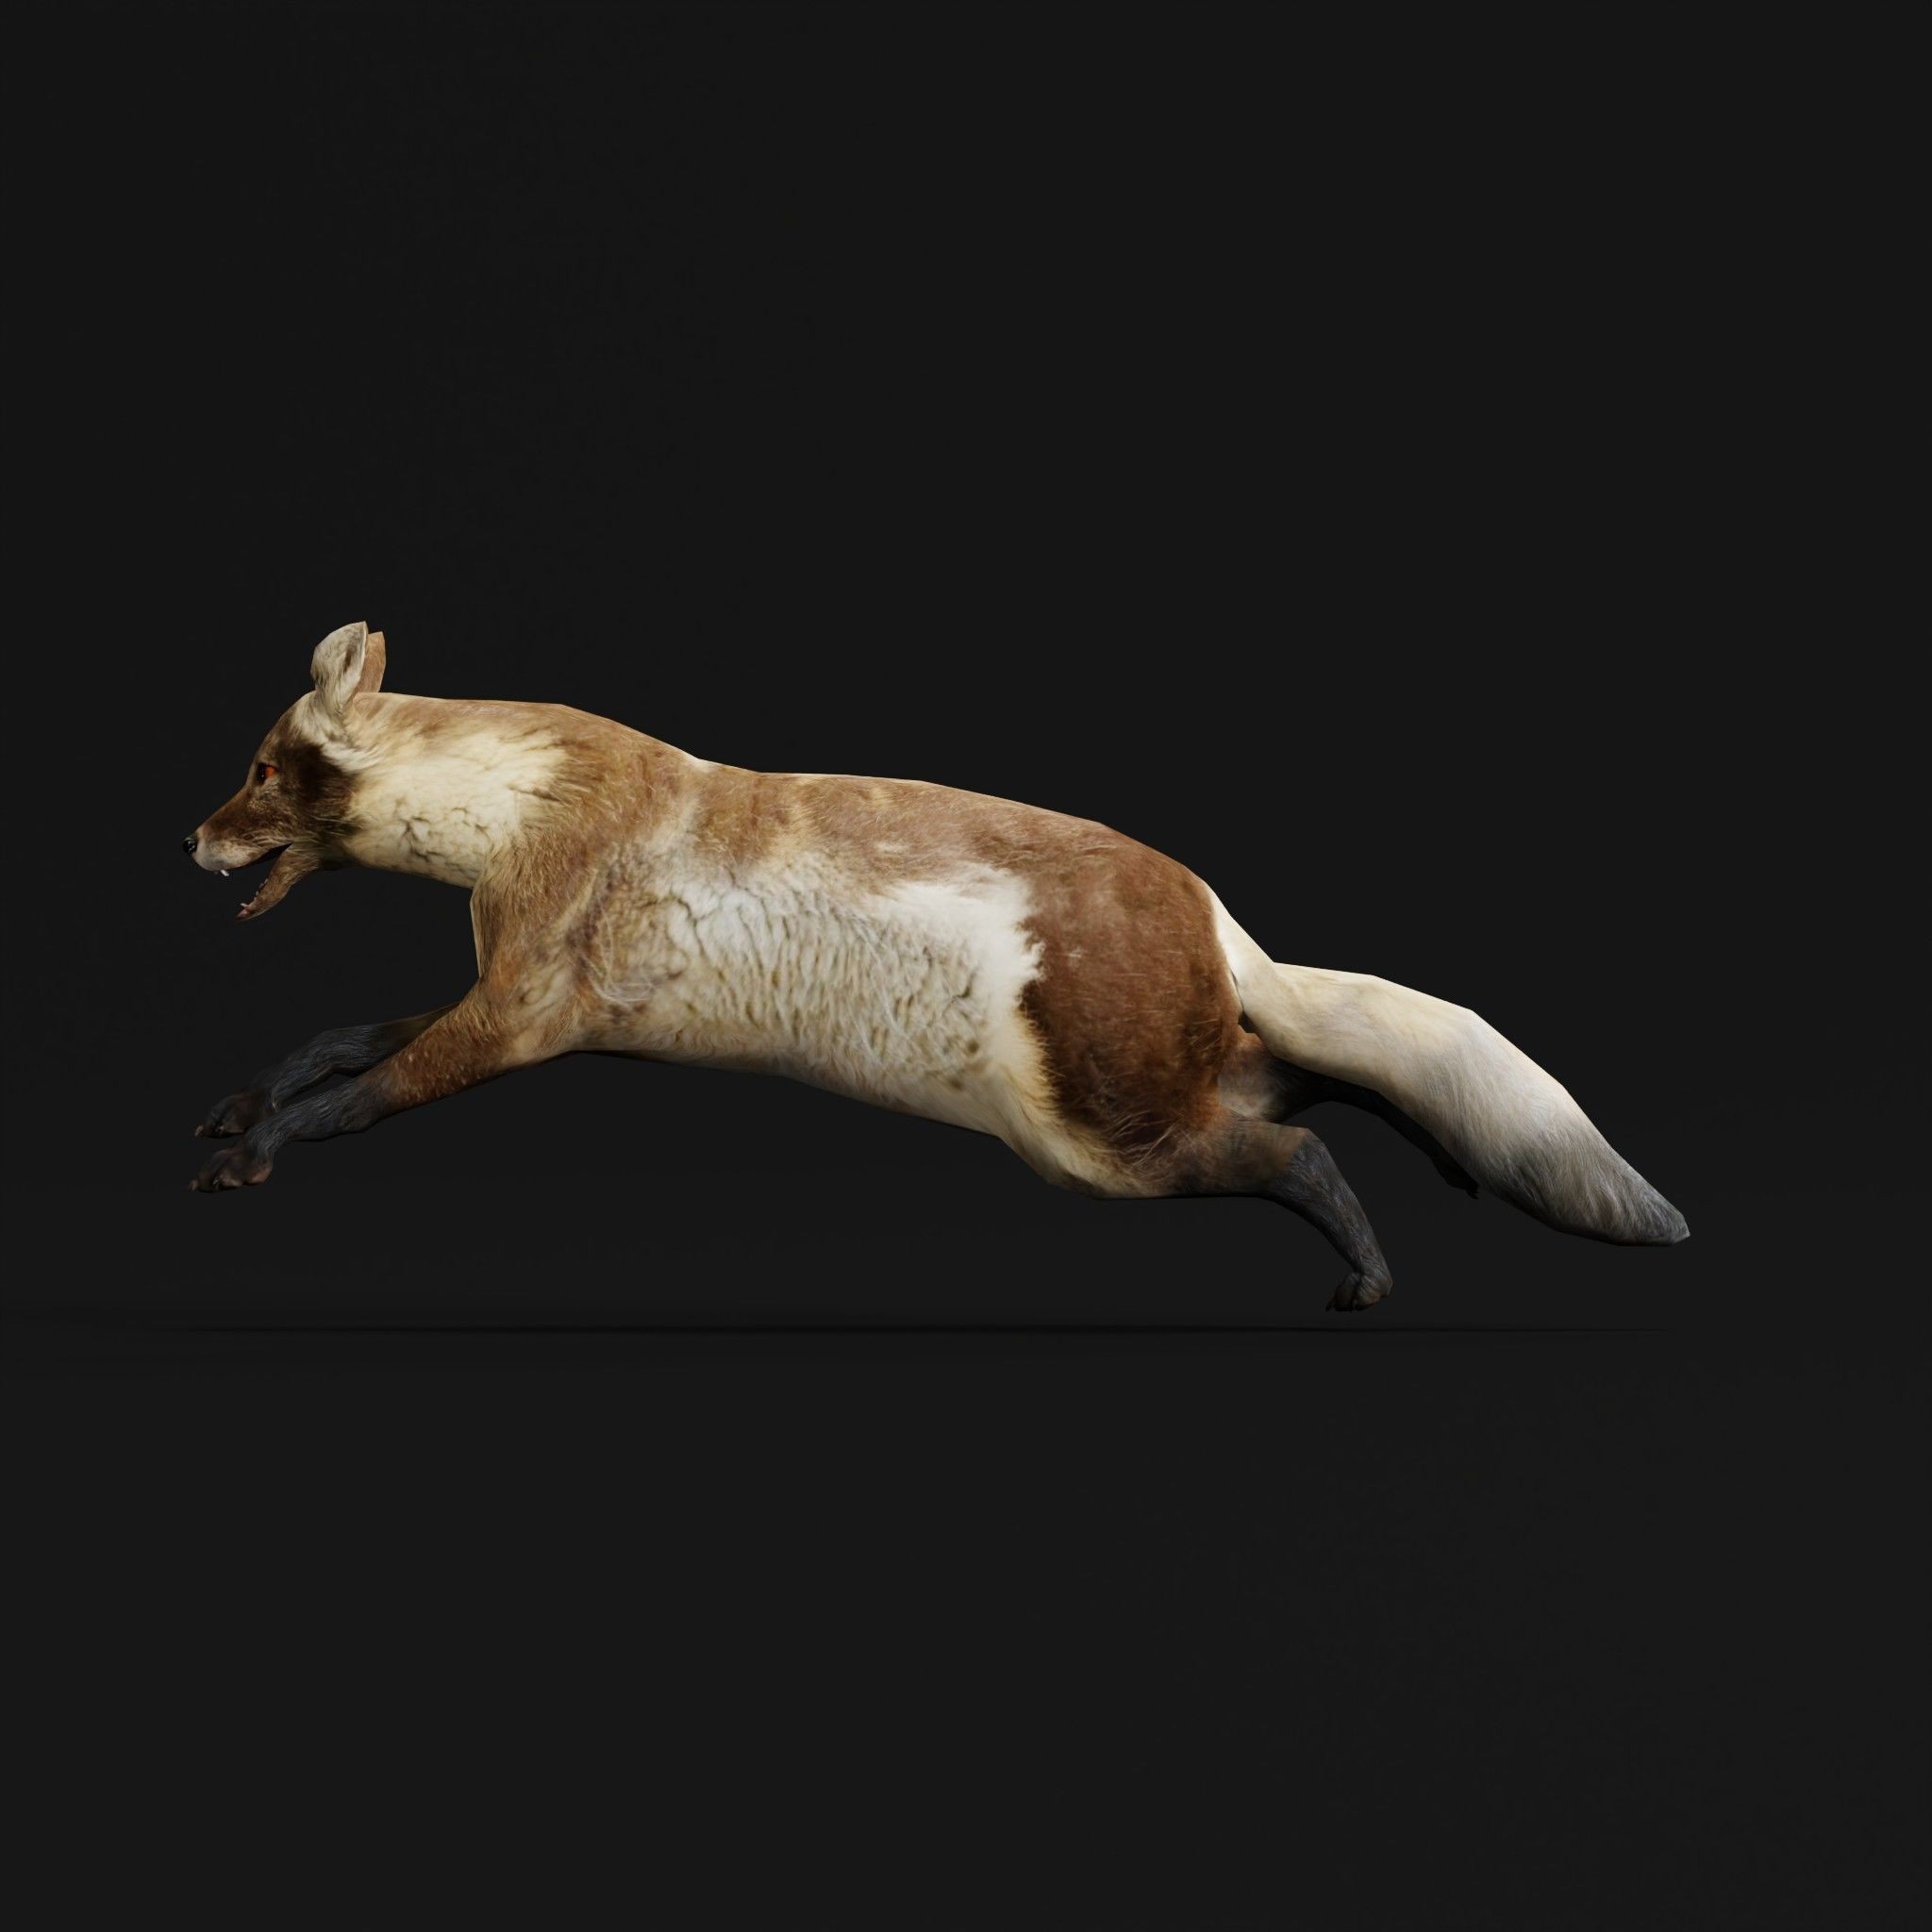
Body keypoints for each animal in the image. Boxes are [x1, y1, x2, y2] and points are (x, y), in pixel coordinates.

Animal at [184, 621, 1687, 1307]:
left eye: (258, 769)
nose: (190, 836)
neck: (517, 809)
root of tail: (1220, 925)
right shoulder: (531, 987)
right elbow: (344, 1038)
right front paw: (240, 1104)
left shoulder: (533, 994)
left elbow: (372, 1086)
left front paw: (257, 1148)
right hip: (1123, 1100)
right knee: (1299, 1084)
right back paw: (1431, 1169)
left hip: (1093, 1138)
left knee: (1294, 1141)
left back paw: (1367, 1273)